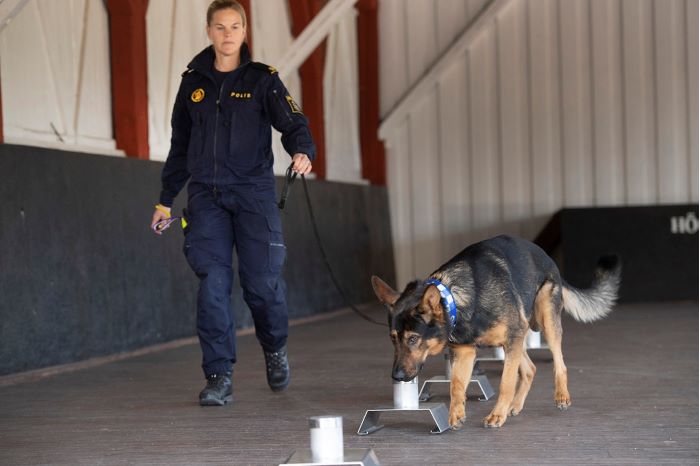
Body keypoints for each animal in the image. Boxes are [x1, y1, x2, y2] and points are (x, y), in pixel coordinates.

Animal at [372, 237, 616, 430]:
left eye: (413, 339)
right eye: (393, 339)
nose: (397, 377)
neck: (454, 298)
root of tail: (547, 257)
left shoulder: (513, 337)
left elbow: (506, 382)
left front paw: (497, 414)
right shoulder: (465, 352)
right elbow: (456, 385)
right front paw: (456, 413)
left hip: (544, 322)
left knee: (559, 363)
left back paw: (561, 396)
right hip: (512, 341)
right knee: (530, 369)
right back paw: (515, 405)